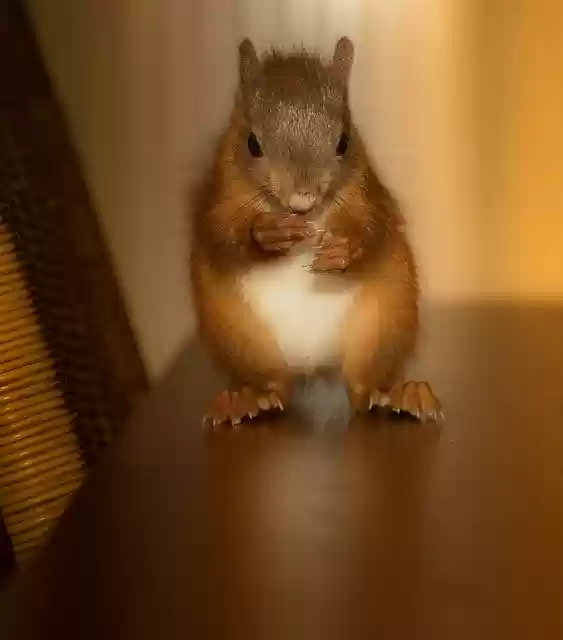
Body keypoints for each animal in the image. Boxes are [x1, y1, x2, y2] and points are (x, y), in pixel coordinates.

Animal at [190, 36, 442, 427]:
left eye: (344, 141)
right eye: (251, 143)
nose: (302, 199)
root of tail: (311, 368)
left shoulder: (367, 193)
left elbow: (373, 229)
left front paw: (344, 251)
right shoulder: (218, 194)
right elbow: (221, 232)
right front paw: (267, 233)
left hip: (383, 320)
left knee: (365, 388)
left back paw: (399, 394)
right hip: (237, 333)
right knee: (273, 386)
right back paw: (247, 400)